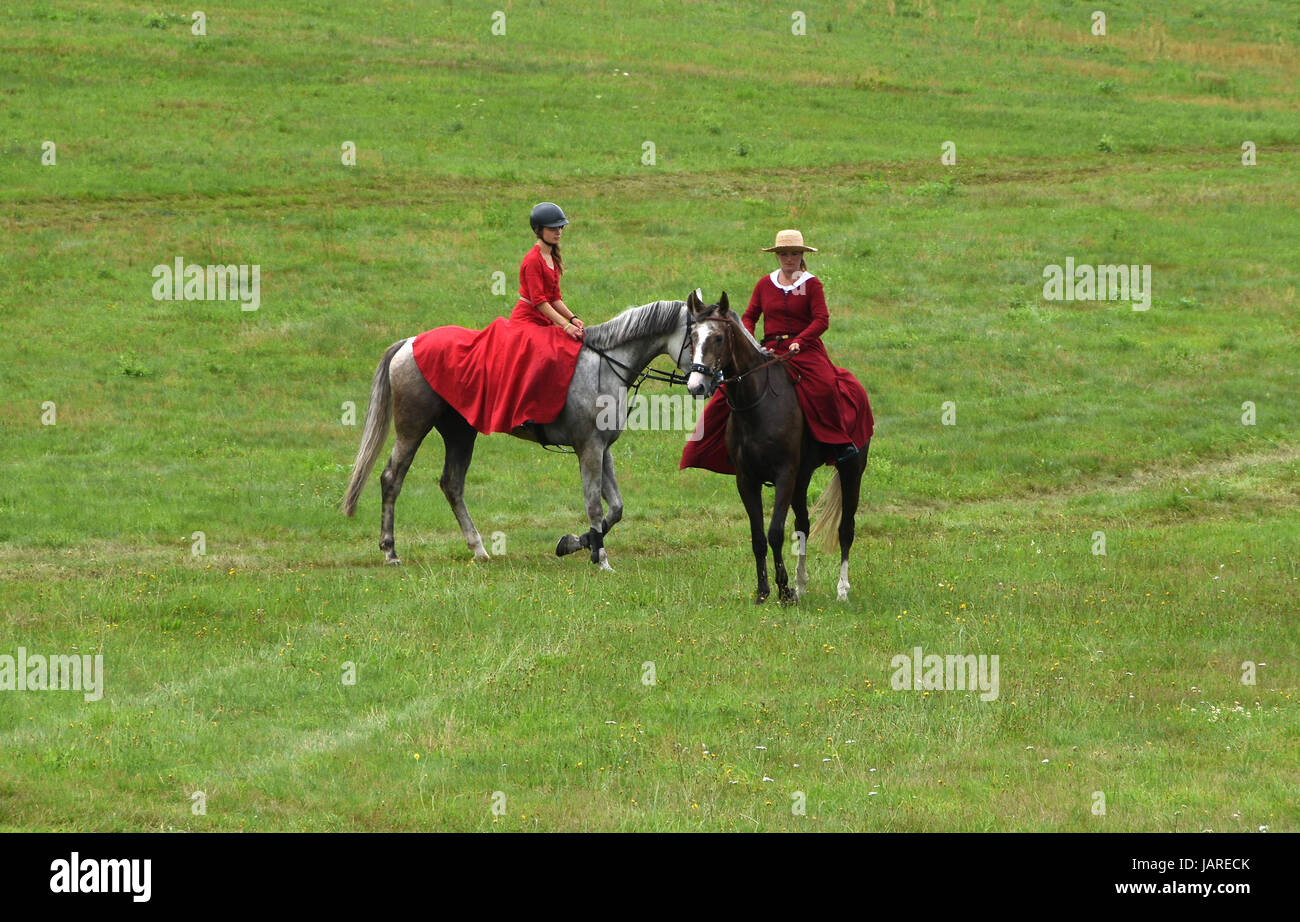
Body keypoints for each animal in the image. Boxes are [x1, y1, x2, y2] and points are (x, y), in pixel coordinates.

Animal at [340, 295, 696, 566]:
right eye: (699, 338)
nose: (702, 383)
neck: (603, 364)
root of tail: (410, 343)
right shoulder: (589, 447)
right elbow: (595, 505)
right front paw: (600, 558)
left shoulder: (603, 448)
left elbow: (617, 508)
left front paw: (575, 542)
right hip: (413, 428)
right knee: (392, 479)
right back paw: (390, 551)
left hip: (460, 433)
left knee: (452, 484)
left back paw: (478, 548)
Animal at [681, 291, 873, 600]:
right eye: (693, 336)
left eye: (719, 337)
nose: (696, 385)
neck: (757, 403)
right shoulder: (747, 480)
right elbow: (758, 537)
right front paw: (764, 592)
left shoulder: (784, 475)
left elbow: (774, 533)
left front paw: (783, 591)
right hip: (802, 477)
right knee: (803, 525)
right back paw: (802, 583)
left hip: (852, 469)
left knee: (846, 528)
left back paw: (842, 589)